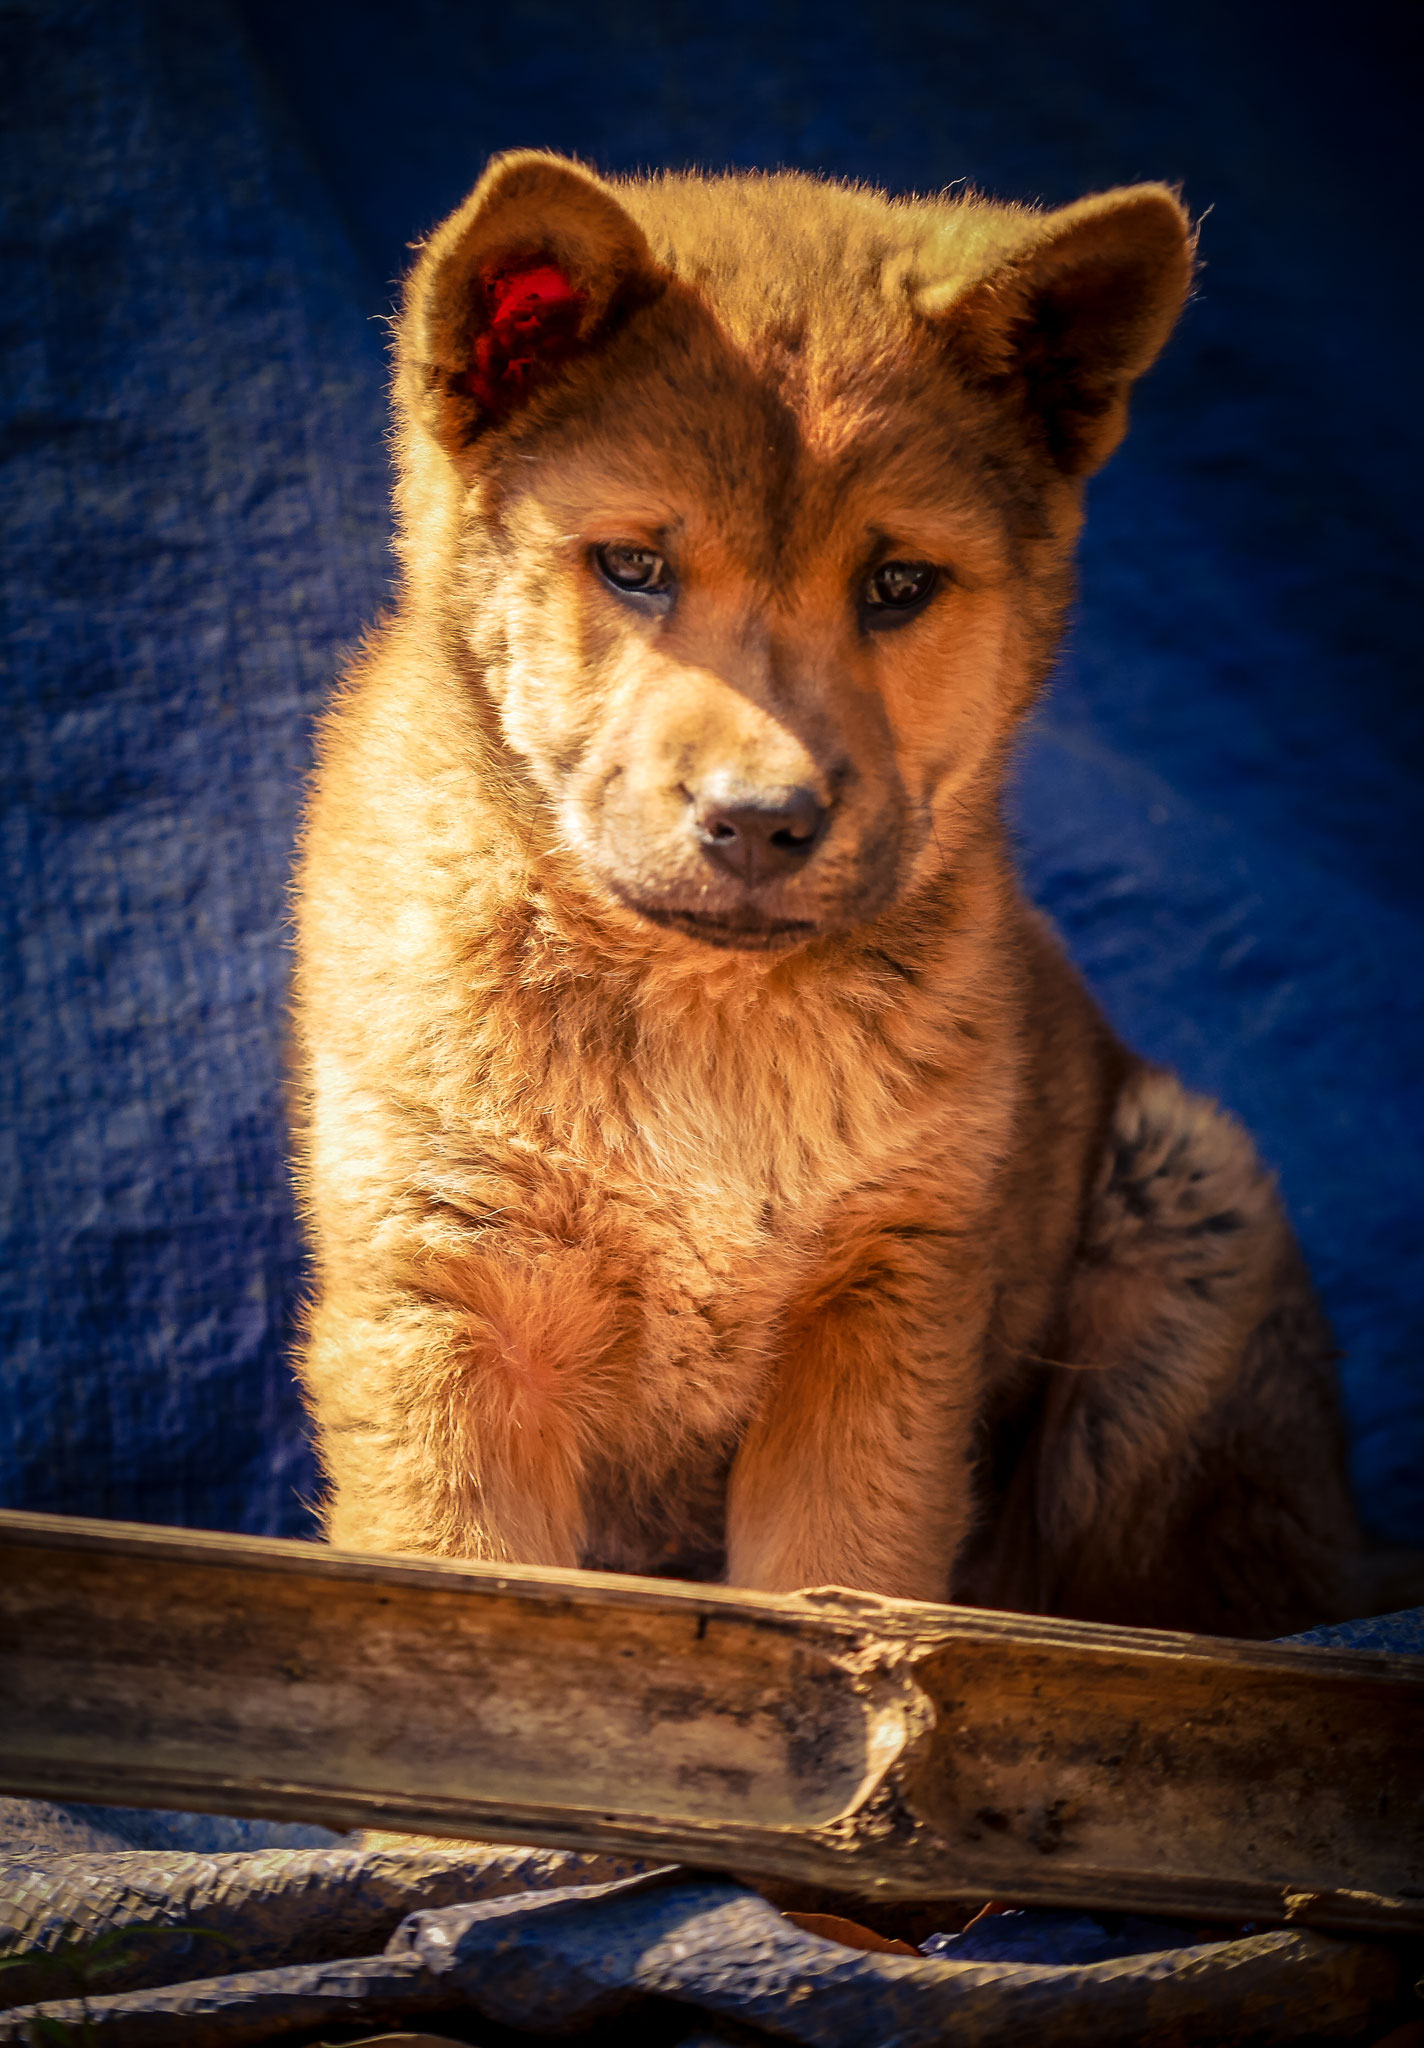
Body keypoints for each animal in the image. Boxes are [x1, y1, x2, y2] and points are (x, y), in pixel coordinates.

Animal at [295, 151, 1376, 1638]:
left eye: (898, 583)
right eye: (633, 566)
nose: (762, 818)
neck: (705, 1011)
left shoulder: (883, 1304)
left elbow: (843, 1581)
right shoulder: (451, 1296)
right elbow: (460, 1581)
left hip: (1179, 1230)